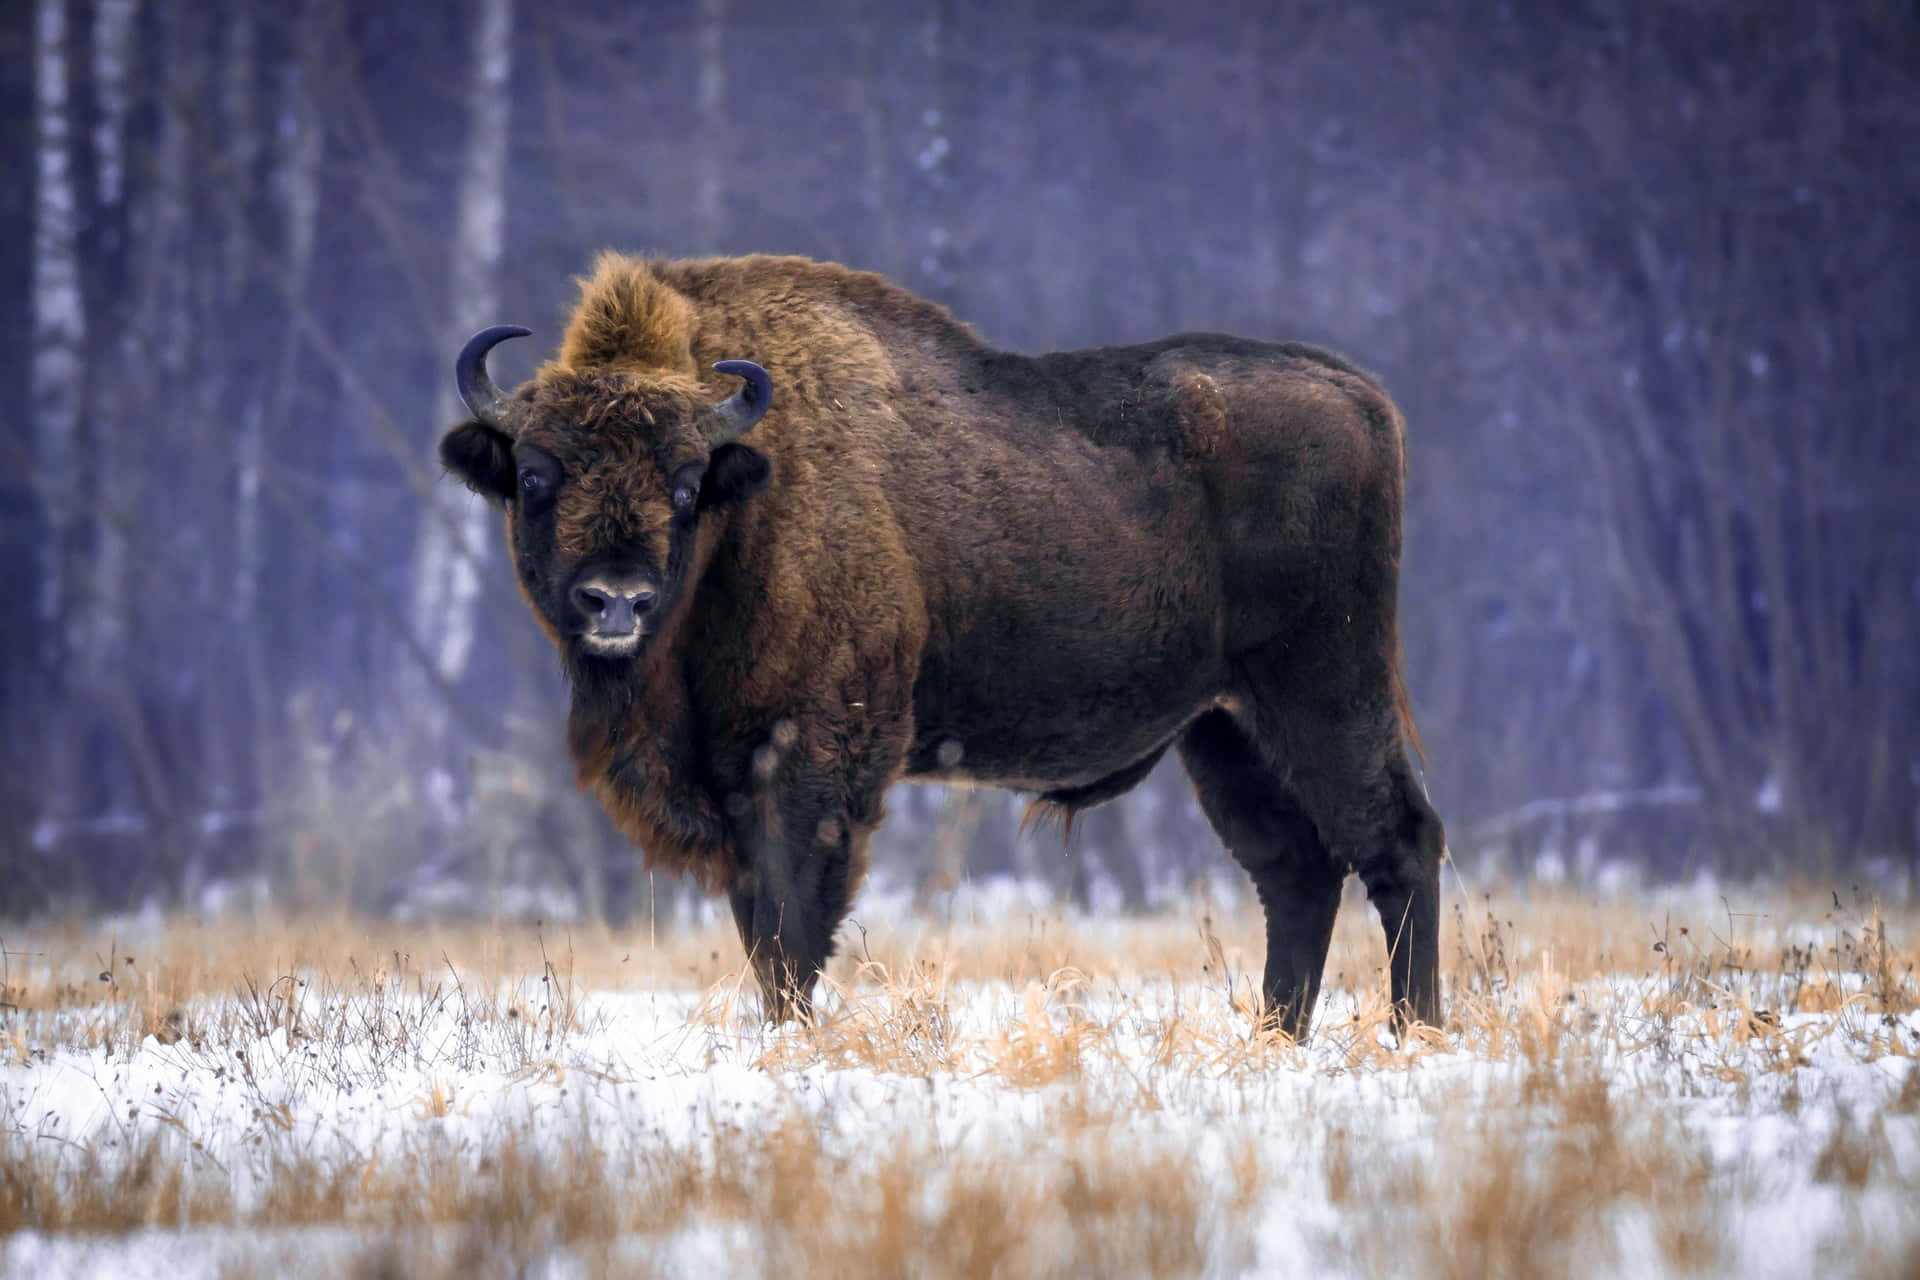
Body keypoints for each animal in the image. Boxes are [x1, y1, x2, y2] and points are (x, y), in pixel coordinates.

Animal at [441, 253, 1443, 1043]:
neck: (751, 496)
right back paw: (1280, 1036)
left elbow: (792, 929)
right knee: (1297, 870)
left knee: (1399, 841)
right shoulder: (733, 778)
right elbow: (761, 932)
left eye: (687, 484)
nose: (616, 599)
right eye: (536, 474)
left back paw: (1414, 1031)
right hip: (1223, 726)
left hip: (1323, 692)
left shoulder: (813, 759)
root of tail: (1364, 397)